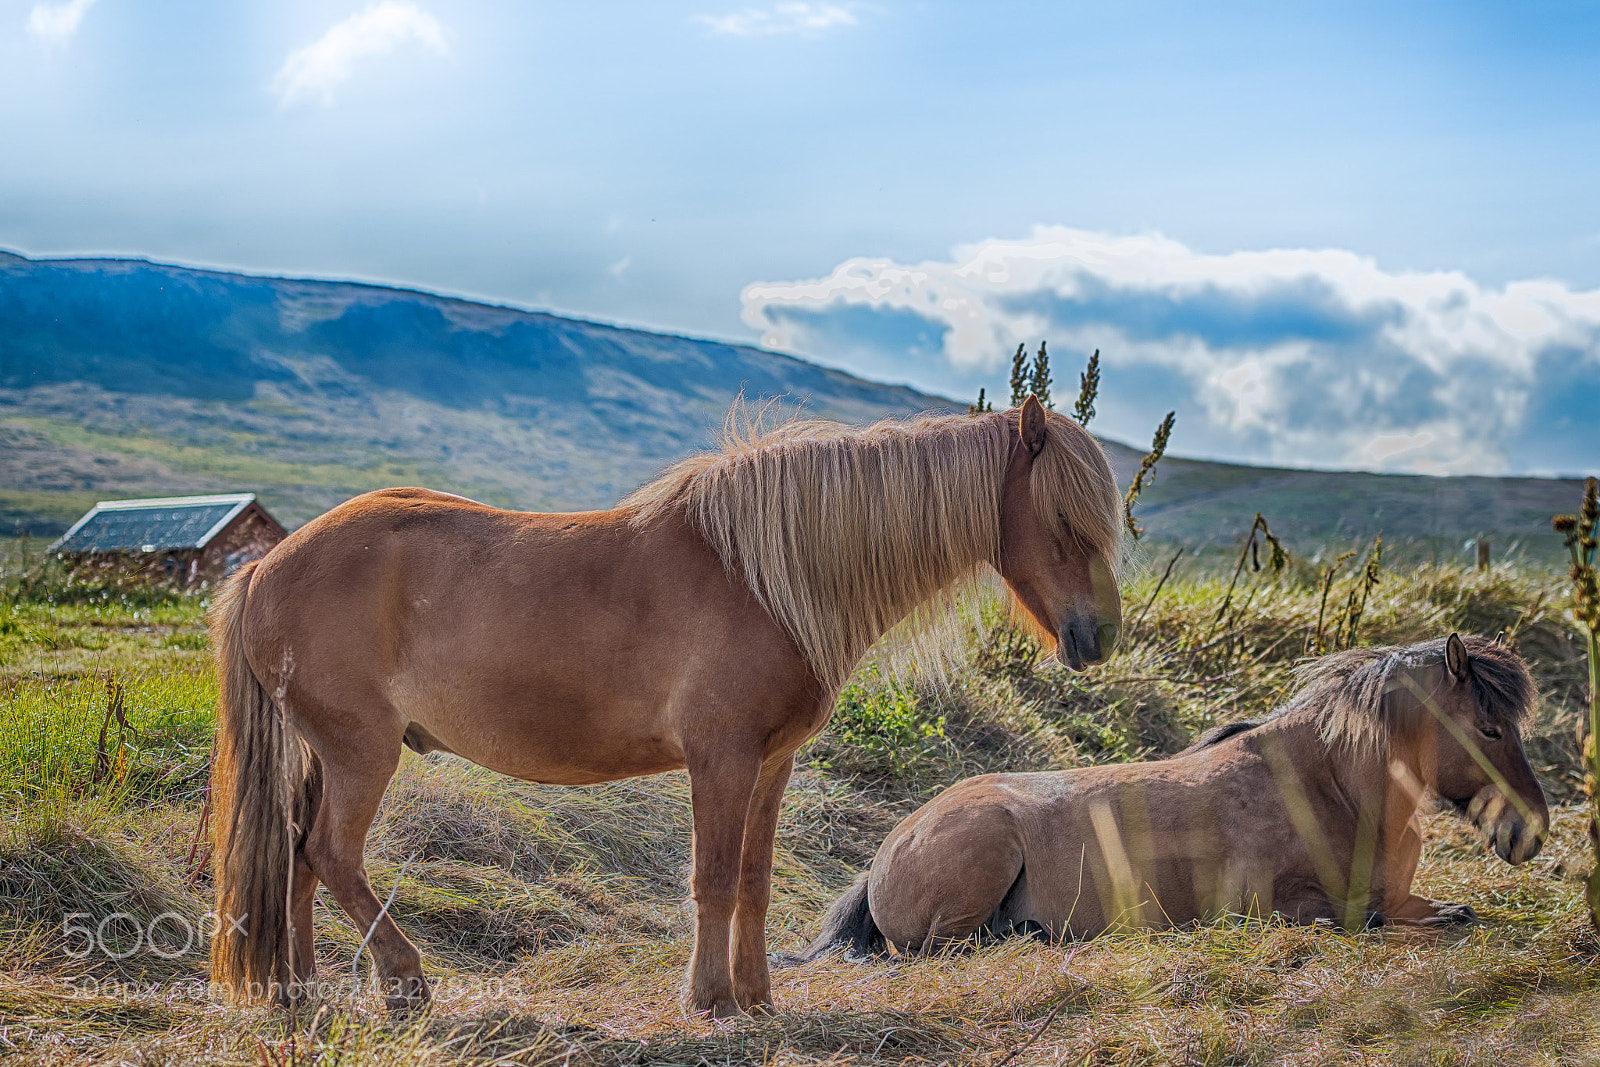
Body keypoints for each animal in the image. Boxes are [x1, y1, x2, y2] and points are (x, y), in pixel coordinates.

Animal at [207, 397, 1126, 1017]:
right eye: (1063, 518)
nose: (1099, 636)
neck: (761, 577)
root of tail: (266, 567)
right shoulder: (720, 756)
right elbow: (712, 878)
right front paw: (710, 996)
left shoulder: (771, 760)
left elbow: (752, 879)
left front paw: (756, 995)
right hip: (363, 753)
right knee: (331, 854)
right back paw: (403, 978)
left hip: (328, 756)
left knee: (297, 856)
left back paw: (300, 986)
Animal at [805, 633, 1547, 956]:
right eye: (1488, 727)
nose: (1532, 830)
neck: (1330, 790)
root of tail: (889, 848)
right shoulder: (1280, 905)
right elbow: (1357, 919)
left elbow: (1447, 911)